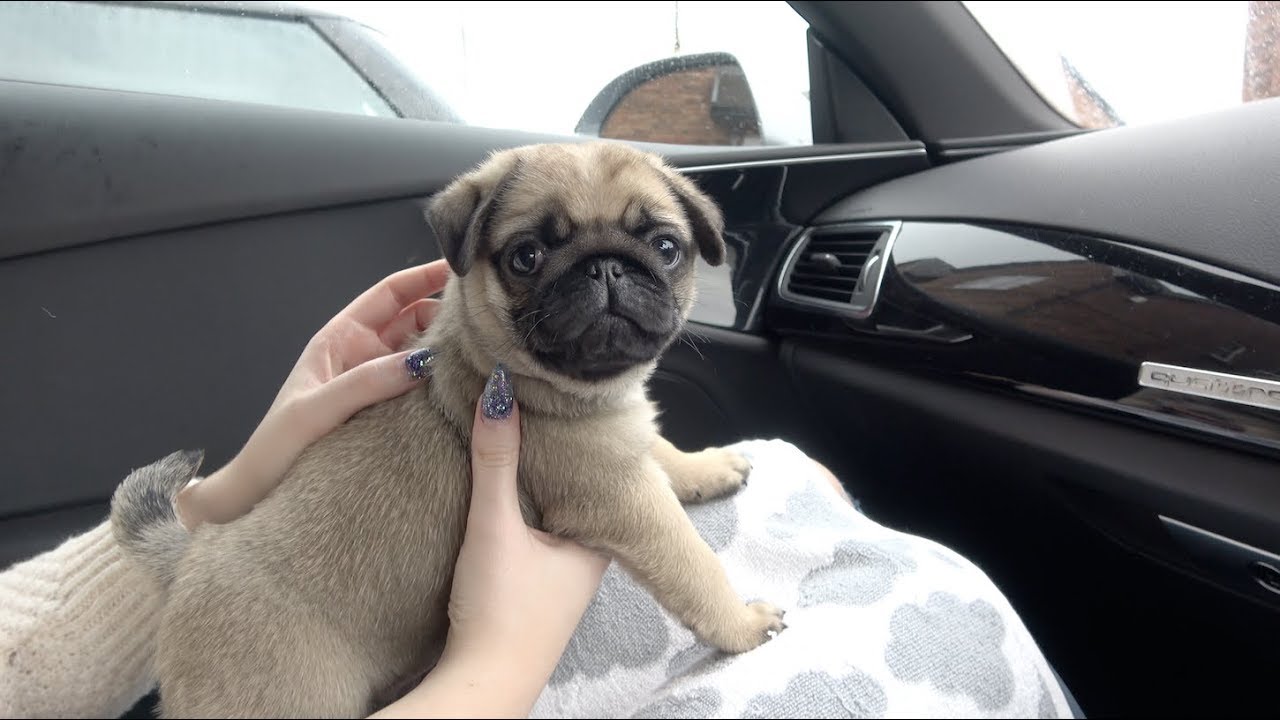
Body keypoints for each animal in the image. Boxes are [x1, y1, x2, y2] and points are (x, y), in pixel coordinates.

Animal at [112, 139, 778, 712]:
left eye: (665, 248)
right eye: (527, 257)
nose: (606, 268)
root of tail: (193, 557)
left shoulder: (624, 443)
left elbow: (661, 450)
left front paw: (708, 467)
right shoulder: (622, 500)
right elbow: (693, 566)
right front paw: (743, 625)